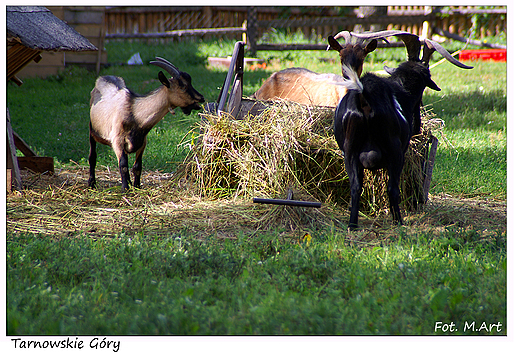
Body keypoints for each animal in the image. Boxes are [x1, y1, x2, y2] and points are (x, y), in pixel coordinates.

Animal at [88, 56, 204, 191]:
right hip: (92, 131)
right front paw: (125, 189)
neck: (136, 114)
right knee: (92, 157)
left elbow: (137, 166)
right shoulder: (117, 140)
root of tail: (103, 78)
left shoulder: (142, 142)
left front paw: (136, 186)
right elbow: (123, 165)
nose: (201, 98)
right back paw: (91, 183)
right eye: (183, 86)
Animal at [332, 31, 474, 228]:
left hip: (350, 150)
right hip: (395, 152)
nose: (417, 123)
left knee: (355, 187)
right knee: (392, 188)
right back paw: (399, 222)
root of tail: (365, 98)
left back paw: (353, 225)